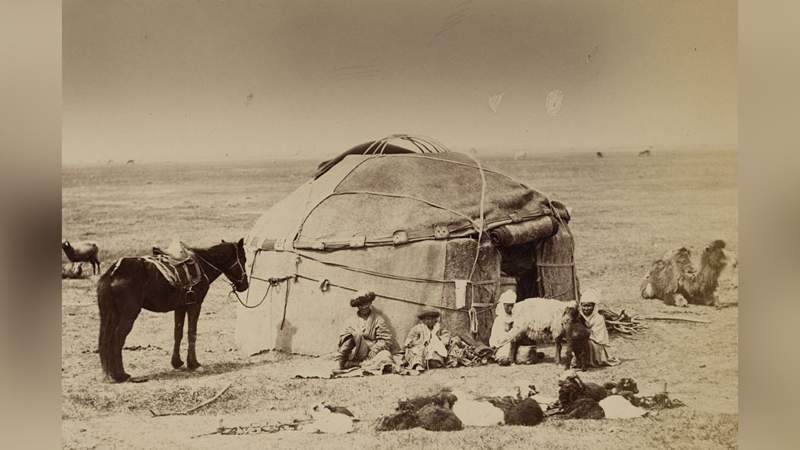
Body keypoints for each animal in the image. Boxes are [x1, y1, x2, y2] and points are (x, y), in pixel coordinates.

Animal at [97, 237, 248, 382]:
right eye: (244, 259)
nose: (245, 285)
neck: (203, 264)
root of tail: (113, 272)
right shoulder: (195, 305)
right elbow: (192, 333)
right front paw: (193, 363)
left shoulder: (180, 307)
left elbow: (178, 333)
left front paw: (177, 362)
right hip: (128, 314)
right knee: (117, 339)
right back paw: (120, 375)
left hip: (111, 315)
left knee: (106, 340)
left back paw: (110, 374)